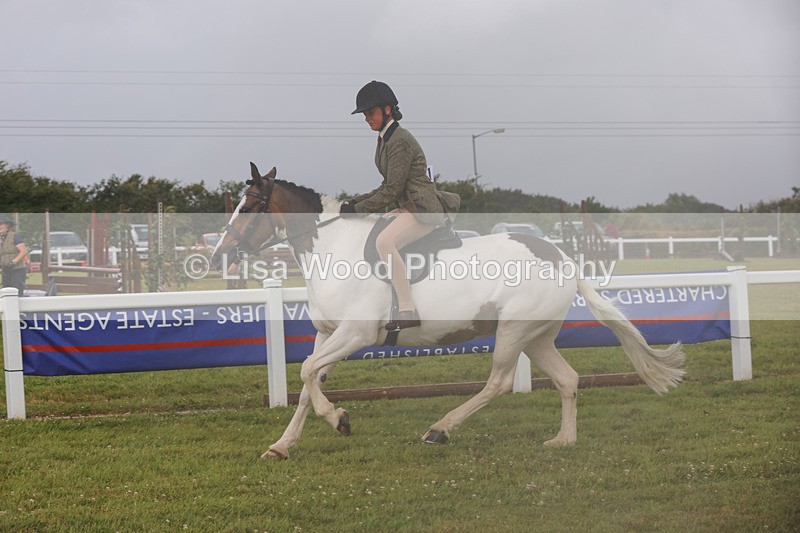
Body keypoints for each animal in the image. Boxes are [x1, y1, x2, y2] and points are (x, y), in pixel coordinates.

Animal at [211, 163, 685, 460]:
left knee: (499, 381)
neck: (331, 247)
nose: (220, 255)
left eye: (247, 207)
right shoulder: (328, 333)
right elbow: (310, 381)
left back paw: (440, 429)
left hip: (513, 331)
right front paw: (282, 445)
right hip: (536, 335)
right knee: (568, 379)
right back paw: (562, 441)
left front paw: (340, 419)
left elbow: (309, 373)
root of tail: (560, 257)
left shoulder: (355, 333)